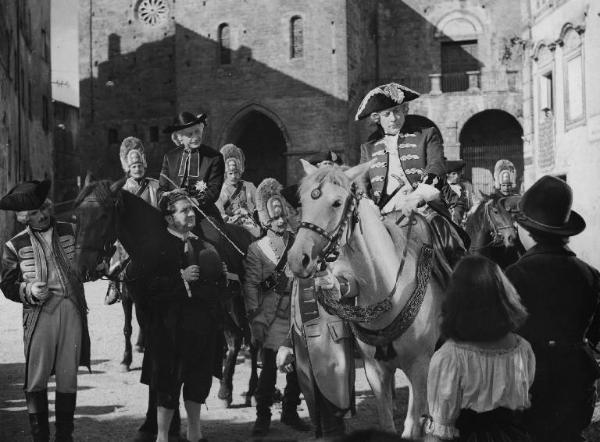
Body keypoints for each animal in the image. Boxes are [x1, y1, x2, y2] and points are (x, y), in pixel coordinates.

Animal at [72, 180, 258, 408]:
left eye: (104, 216)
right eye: (77, 216)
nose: (81, 267)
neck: (154, 247)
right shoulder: (143, 307)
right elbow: (140, 336)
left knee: (239, 337)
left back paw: (228, 391)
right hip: (231, 302)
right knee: (246, 338)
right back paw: (247, 390)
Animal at [286, 160, 446, 438]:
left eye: (337, 202)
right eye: (303, 201)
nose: (298, 259)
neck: (387, 290)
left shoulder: (419, 365)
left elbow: (411, 426)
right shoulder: (375, 370)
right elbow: (387, 423)